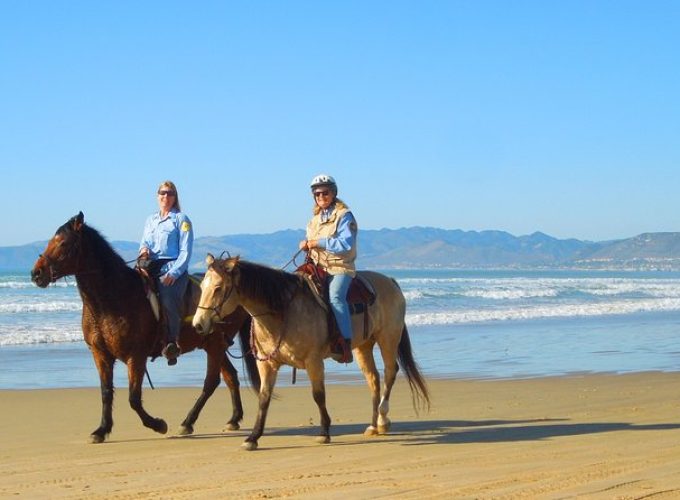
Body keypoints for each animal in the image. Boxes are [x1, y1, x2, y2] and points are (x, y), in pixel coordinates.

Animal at [29, 213, 258, 444]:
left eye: (63, 243)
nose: (36, 273)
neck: (114, 297)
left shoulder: (136, 355)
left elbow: (133, 398)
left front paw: (158, 425)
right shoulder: (100, 354)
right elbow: (106, 393)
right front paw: (101, 430)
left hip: (214, 344)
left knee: (211, 382)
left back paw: (187, 422)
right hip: (213, 344)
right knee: (230, 376)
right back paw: (233, 418)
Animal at [193, 256, 430, 452]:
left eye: (218, 288)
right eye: (202, 286)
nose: (198, 324)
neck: (282, 312)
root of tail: (390, 281)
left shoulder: (313, 361)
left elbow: (318, 395)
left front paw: (324, 432)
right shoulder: (267, 365)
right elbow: (263, 398)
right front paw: (253, 438)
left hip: (388, 338)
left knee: (390, 372)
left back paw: (382, 419)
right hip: (363, 346)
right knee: (373, 378)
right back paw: (373, 425)